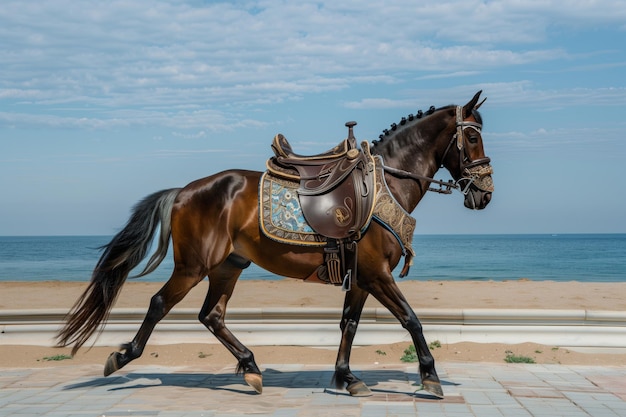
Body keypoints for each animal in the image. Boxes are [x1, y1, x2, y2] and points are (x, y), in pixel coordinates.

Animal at [56, 90, 492, 396]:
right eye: (471, 136)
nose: (484, 193)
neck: (385, 186)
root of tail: (182, 191)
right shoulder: (377, 274)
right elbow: (412, 320)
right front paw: (430, 376)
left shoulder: (362, 277)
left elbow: (349, 324)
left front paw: (345, 377)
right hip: (193, 267)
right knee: (160, 303)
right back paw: (122, 355)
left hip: (228, 266)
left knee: (212, 316)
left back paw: (250, 368)